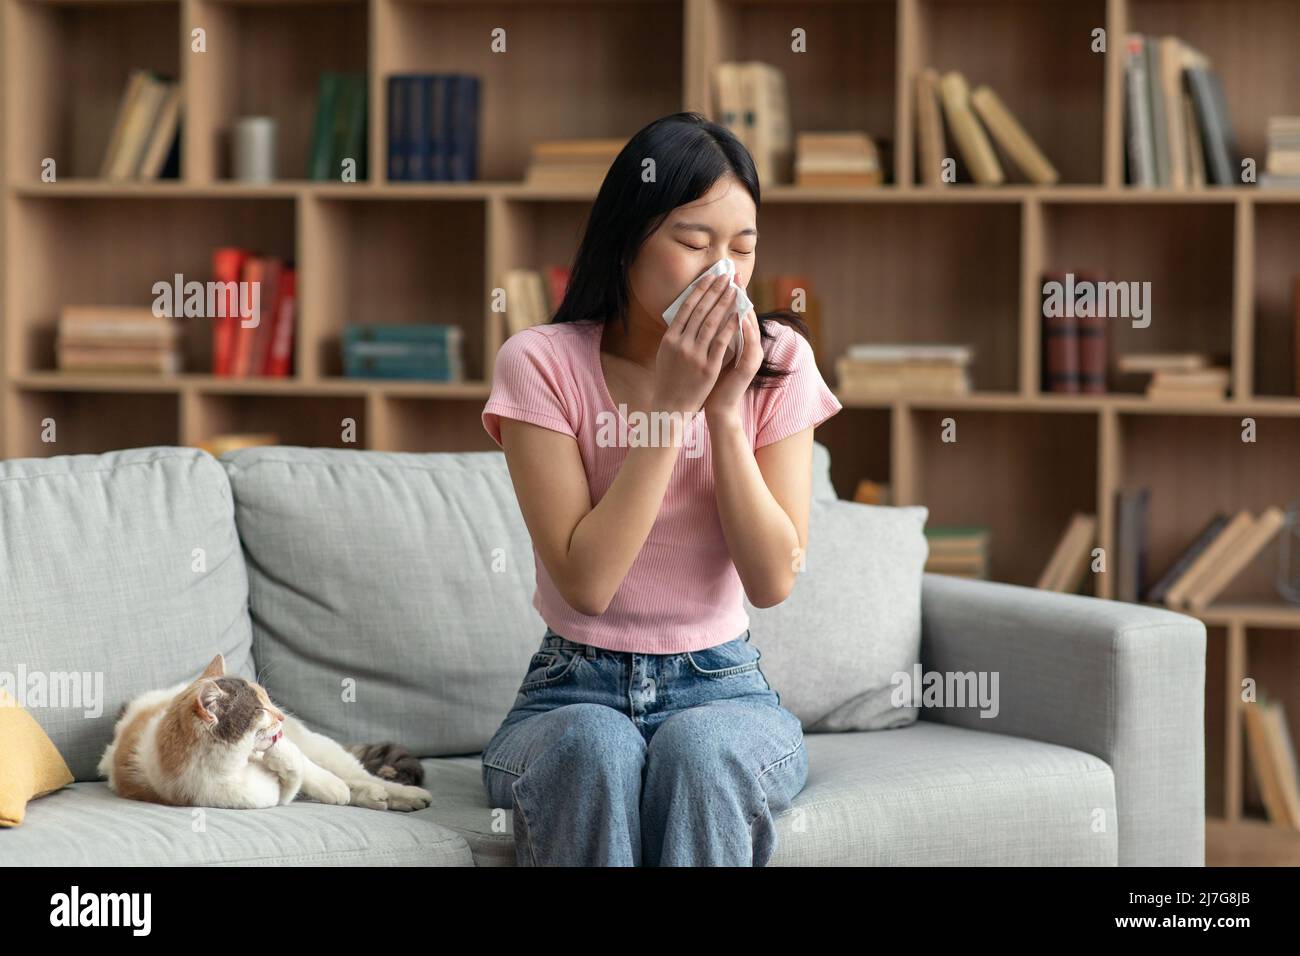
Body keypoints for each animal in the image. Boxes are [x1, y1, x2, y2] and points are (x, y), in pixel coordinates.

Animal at [97, 650, 431, 816]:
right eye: (261, 709)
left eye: (268, 699)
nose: (280, 715)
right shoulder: (255, 794)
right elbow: (293, 781)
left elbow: (305, 767)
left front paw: (327, 784)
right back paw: (373, 796)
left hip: (319, 745)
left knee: (355, 772)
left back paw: (400, 793)